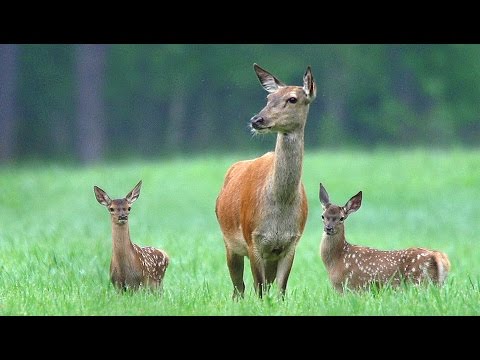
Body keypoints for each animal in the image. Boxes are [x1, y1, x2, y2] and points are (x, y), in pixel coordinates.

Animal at [216, 64, 316, 298]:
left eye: (292, 99)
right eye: (268, 97)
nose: (257, 120)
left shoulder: (291, 243)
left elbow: (280, 290)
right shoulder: (253, 238)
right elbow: (259, 288)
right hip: (229, 242)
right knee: (239, 288)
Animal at [318, 183, 450, 292]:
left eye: (341, 218)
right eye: (323, 216)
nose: (328, 228)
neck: (337, 260)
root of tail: (438, 256)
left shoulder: (353, 287)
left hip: (419, 281)